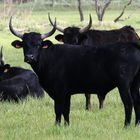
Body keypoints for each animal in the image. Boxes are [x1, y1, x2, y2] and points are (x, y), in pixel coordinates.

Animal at [9, 17, 140, 126]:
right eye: (24, 44)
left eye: (38, 44)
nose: (29, 57)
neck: (50, 57)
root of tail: (132, 44)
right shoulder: (67, 93)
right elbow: (66, 110)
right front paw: (66, 125)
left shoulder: (59, 92)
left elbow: (58, 110)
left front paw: (57, 125)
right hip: (134, 84)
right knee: (136, 100)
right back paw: (136, 124)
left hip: (123, 85)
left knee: (128, 103)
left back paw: (126, 126)